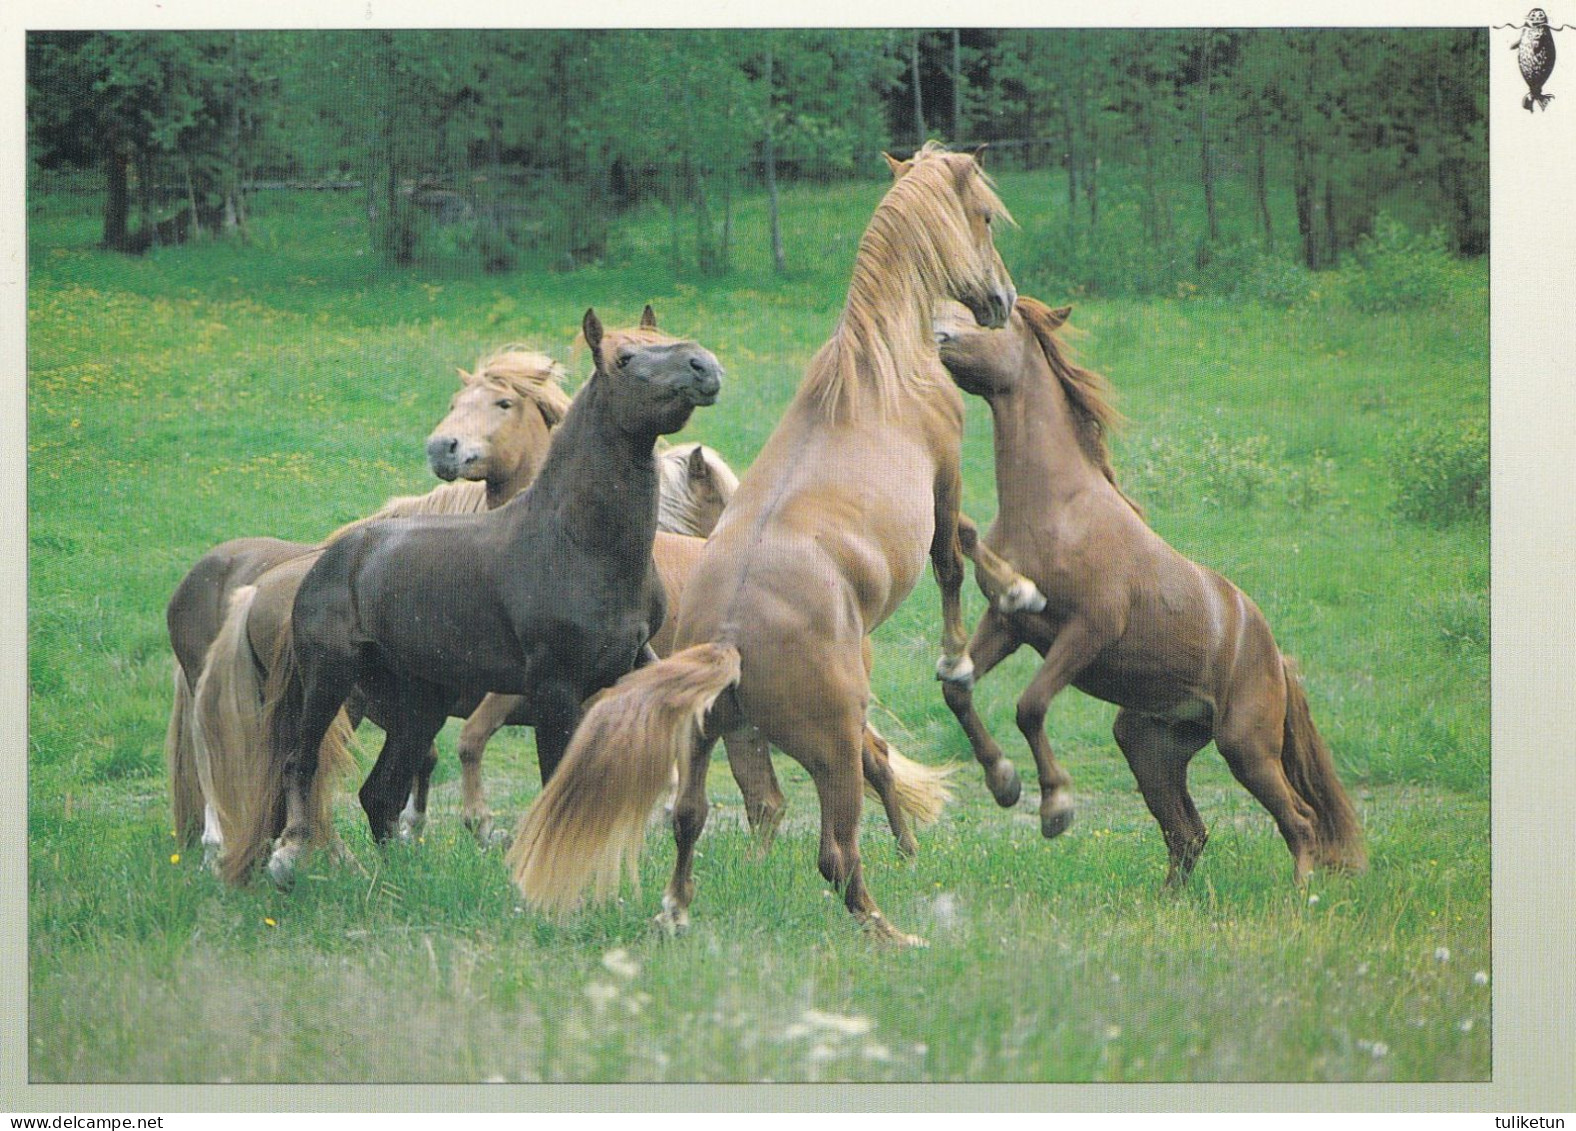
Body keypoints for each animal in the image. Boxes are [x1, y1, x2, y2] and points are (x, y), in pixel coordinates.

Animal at [226, 305, 724, 888]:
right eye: (624, 358)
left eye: (665, 340)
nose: (704, 367)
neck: (577, 543)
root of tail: (326, 561)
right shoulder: (555, 687)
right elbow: (556, 785)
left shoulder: (630, 665)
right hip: (329, 683)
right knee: (300, 764)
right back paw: (289, 860)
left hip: (421, 704)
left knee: (380, 794)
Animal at [507, 146, 1033, 951]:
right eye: (983, 217)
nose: (1002, 298)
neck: (879, 366)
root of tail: (729, 639)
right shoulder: (943, 481)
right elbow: (953, 566)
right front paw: (980, 692)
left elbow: (969, 547)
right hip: (830, 748)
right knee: (836, 853)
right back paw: (892, 934)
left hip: (704, 743)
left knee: (689, 819)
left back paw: (676, 912)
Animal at [932, 294, 1367, 888]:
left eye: (988, 316)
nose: (935, 336)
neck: (1057, 510)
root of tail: (1277, 658)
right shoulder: (1008, 624)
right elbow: (958, 689)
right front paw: (1004, 783)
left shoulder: (1088, 630)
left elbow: (1030, 705)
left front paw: (1055, 808)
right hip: (1148, 745)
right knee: (1188, 833)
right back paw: (1169, 900)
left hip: (1246, 746)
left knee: (1297, 820)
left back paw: (1303, 896)